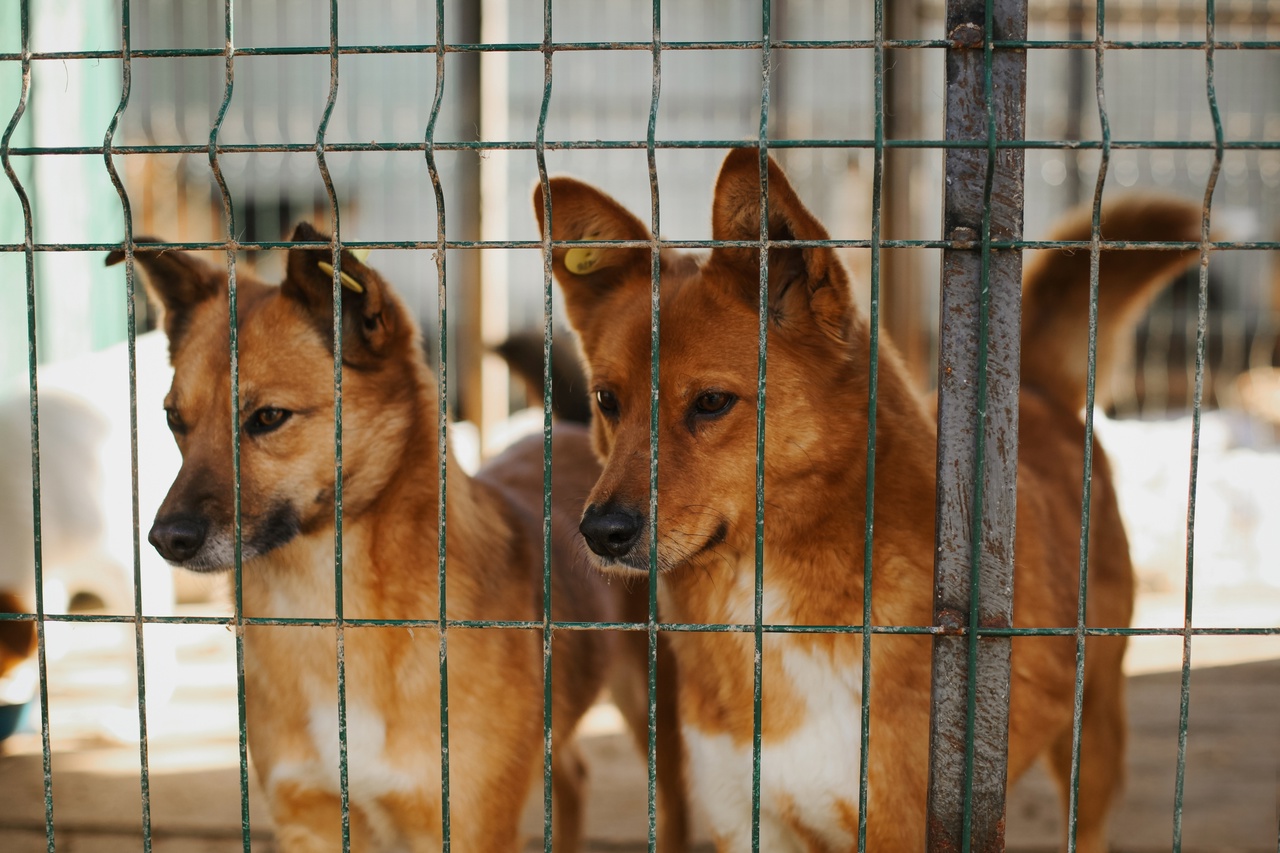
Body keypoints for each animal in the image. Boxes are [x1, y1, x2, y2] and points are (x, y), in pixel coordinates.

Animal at [111, 227, 691, 850]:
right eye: (174, 420)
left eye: (267, 417)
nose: (164, 539)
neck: (329, 614)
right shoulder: (309, 819)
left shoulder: (466, 825)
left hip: (658, 716)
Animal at [535, 149, 1203, 845]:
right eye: (607, 401)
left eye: (712, 401)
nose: (600, 532)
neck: (767, 599)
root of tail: (1033, 391)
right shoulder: (745, 819)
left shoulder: (901, 823)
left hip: (1091, 731)